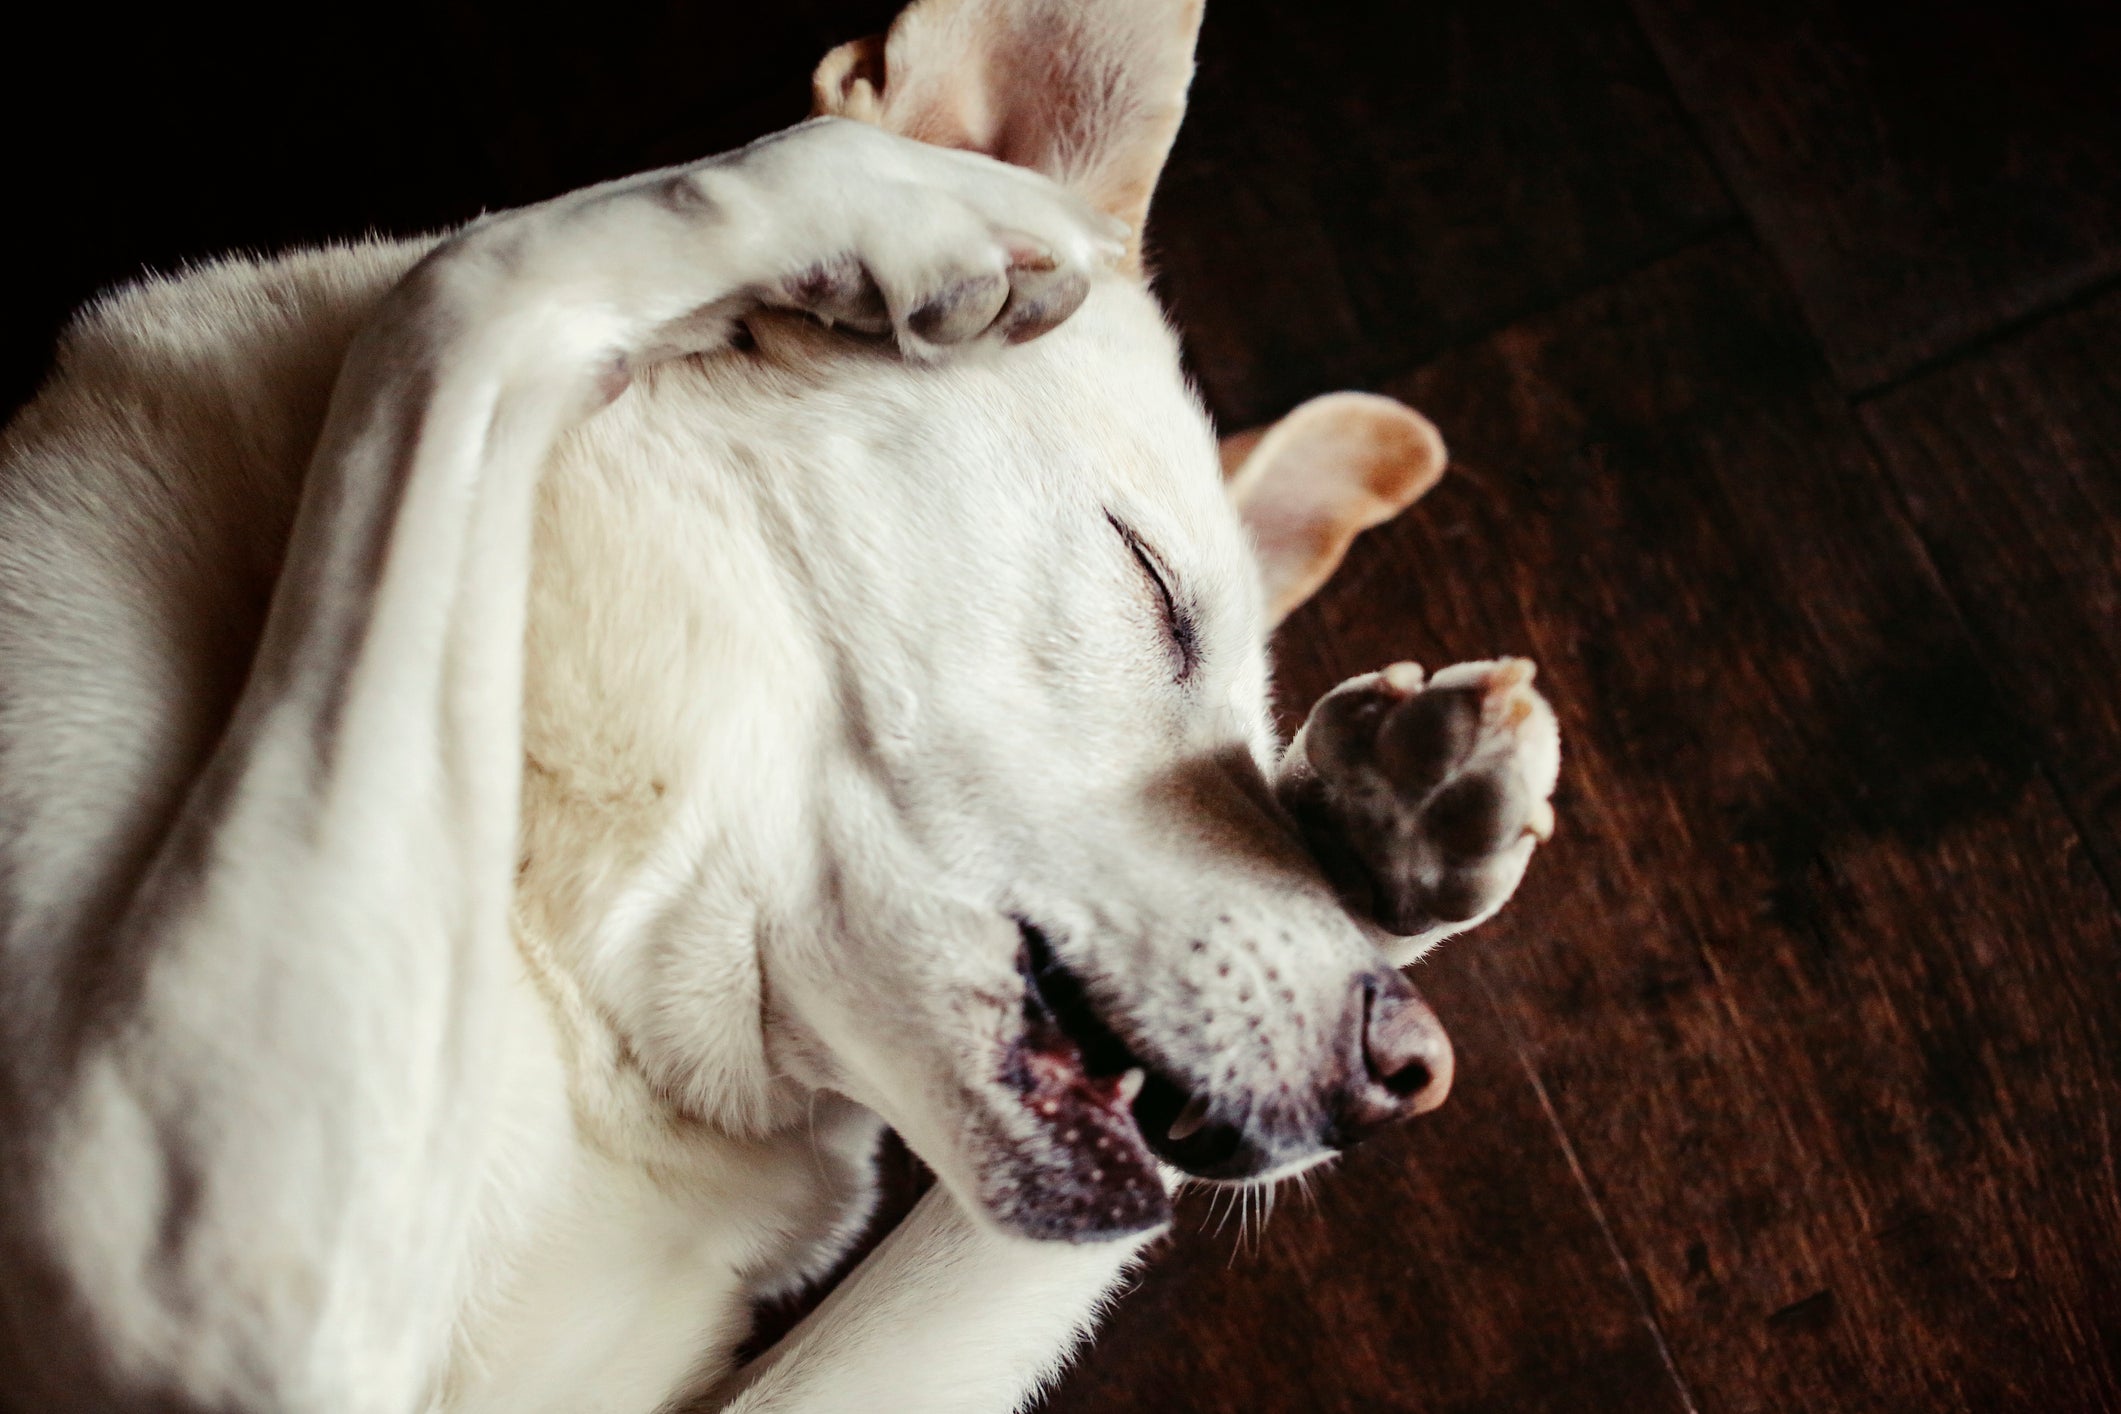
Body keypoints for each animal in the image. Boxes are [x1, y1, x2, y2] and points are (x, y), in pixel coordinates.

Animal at [0, 2, 1561, 1414]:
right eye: (1154, 587)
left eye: (1256, 747)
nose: (1411, 1069)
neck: (568, 927)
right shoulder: (180, 1225)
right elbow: (473, 272)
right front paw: (876, 194)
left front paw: (1399, 817)